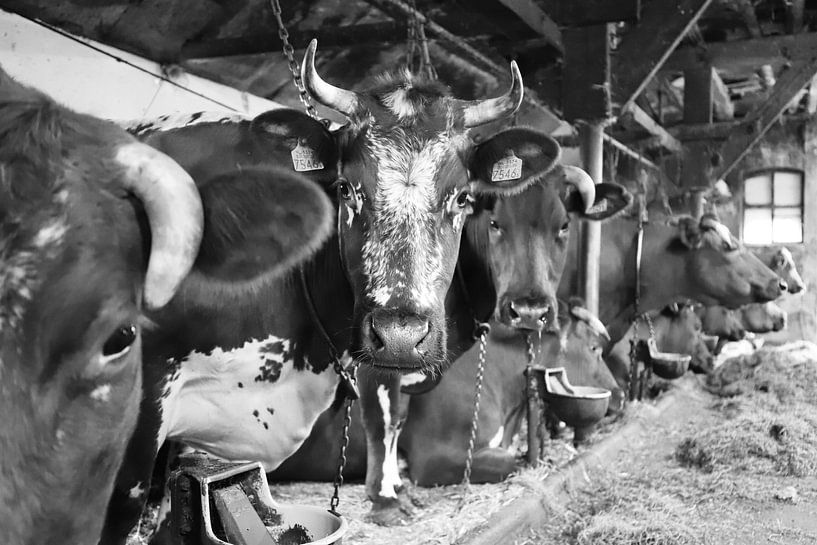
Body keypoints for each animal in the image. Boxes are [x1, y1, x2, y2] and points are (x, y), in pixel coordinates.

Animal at [102, 40, 552, 542]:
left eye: (462, 198)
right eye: (346, 188)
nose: (400, 334)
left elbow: (385, 414)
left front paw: (391, 498)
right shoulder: (144, 399)